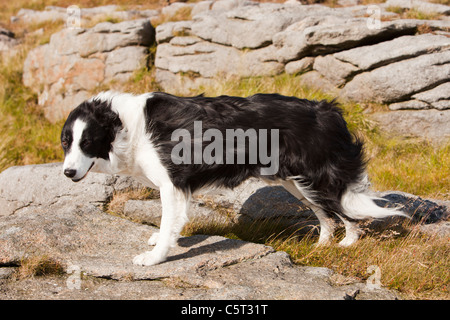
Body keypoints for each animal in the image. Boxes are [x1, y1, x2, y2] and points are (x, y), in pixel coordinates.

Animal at [60, 90, 408, 264]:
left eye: (87, 143)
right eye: (66, 143)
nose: (68, 172)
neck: (124, 124)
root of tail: (329, 110)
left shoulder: (172, 184)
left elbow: (168, 221)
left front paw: (155, 257)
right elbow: (169, 223)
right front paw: (160, 241)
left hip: (315, 177)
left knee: (344, 209)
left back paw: (347, 244)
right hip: (297, 182)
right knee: (326, 214)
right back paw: (321, 246)